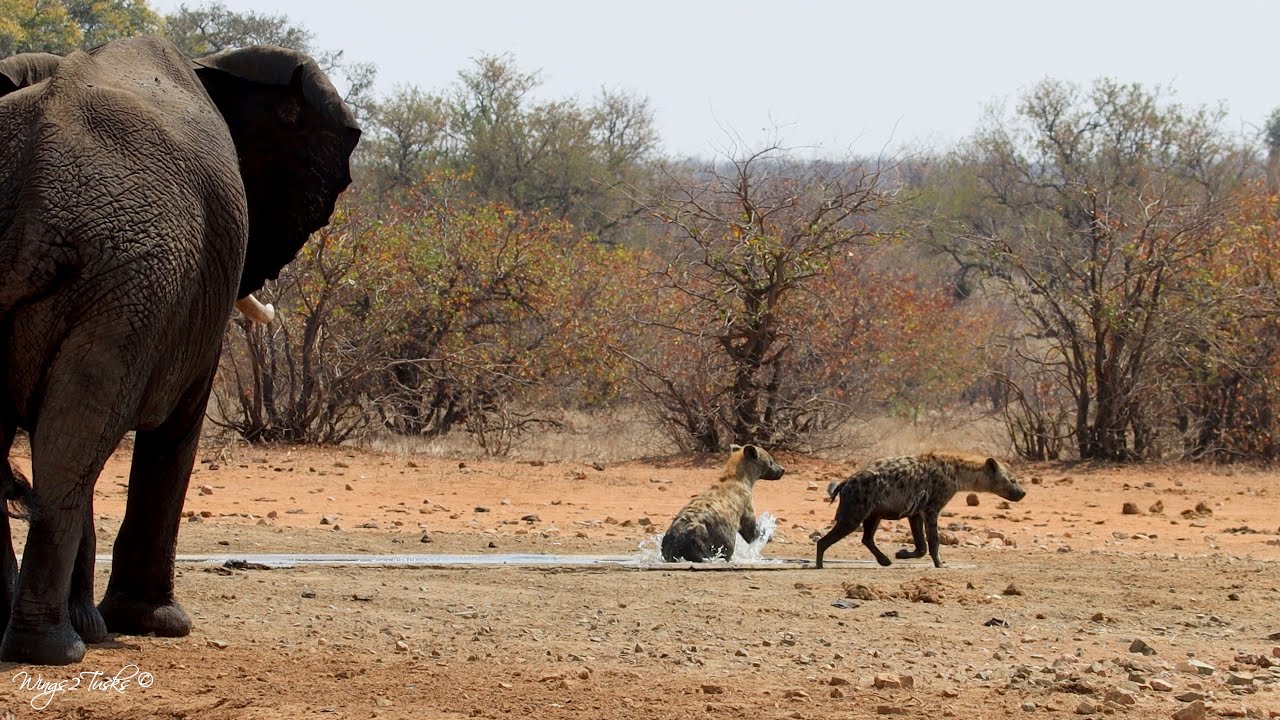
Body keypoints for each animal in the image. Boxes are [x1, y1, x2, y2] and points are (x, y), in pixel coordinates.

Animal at [0, 36, 360, 664]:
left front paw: (104, 626)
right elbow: (178, 424)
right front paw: (158, 624)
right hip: (129, 280)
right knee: (74, 442)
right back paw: (53, 649)